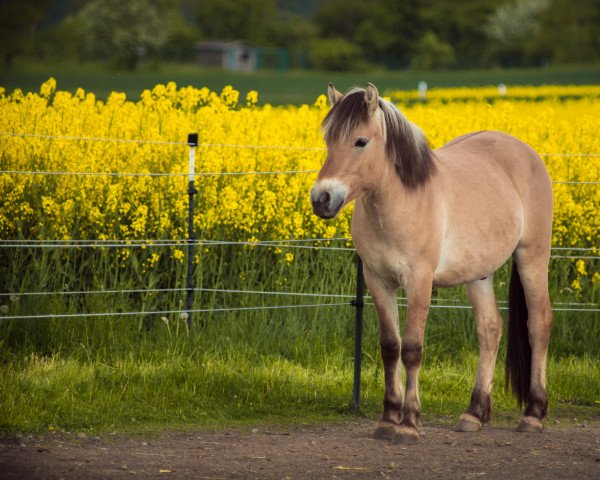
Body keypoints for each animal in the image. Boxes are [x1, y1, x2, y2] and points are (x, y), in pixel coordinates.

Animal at [312, 84, 556, 444]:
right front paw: (388, 419)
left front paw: (409, 423)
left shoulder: (419, 281)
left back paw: (533, 414)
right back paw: (474, 413)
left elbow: (412, 349)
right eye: (329, 140)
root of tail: (526, 153)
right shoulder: (377, 280)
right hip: (479, 274)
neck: (402, 202)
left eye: (360, 141)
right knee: (490, 329)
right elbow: (390, 347)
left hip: (532, 258)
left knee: (538, 323)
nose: (321, 199)